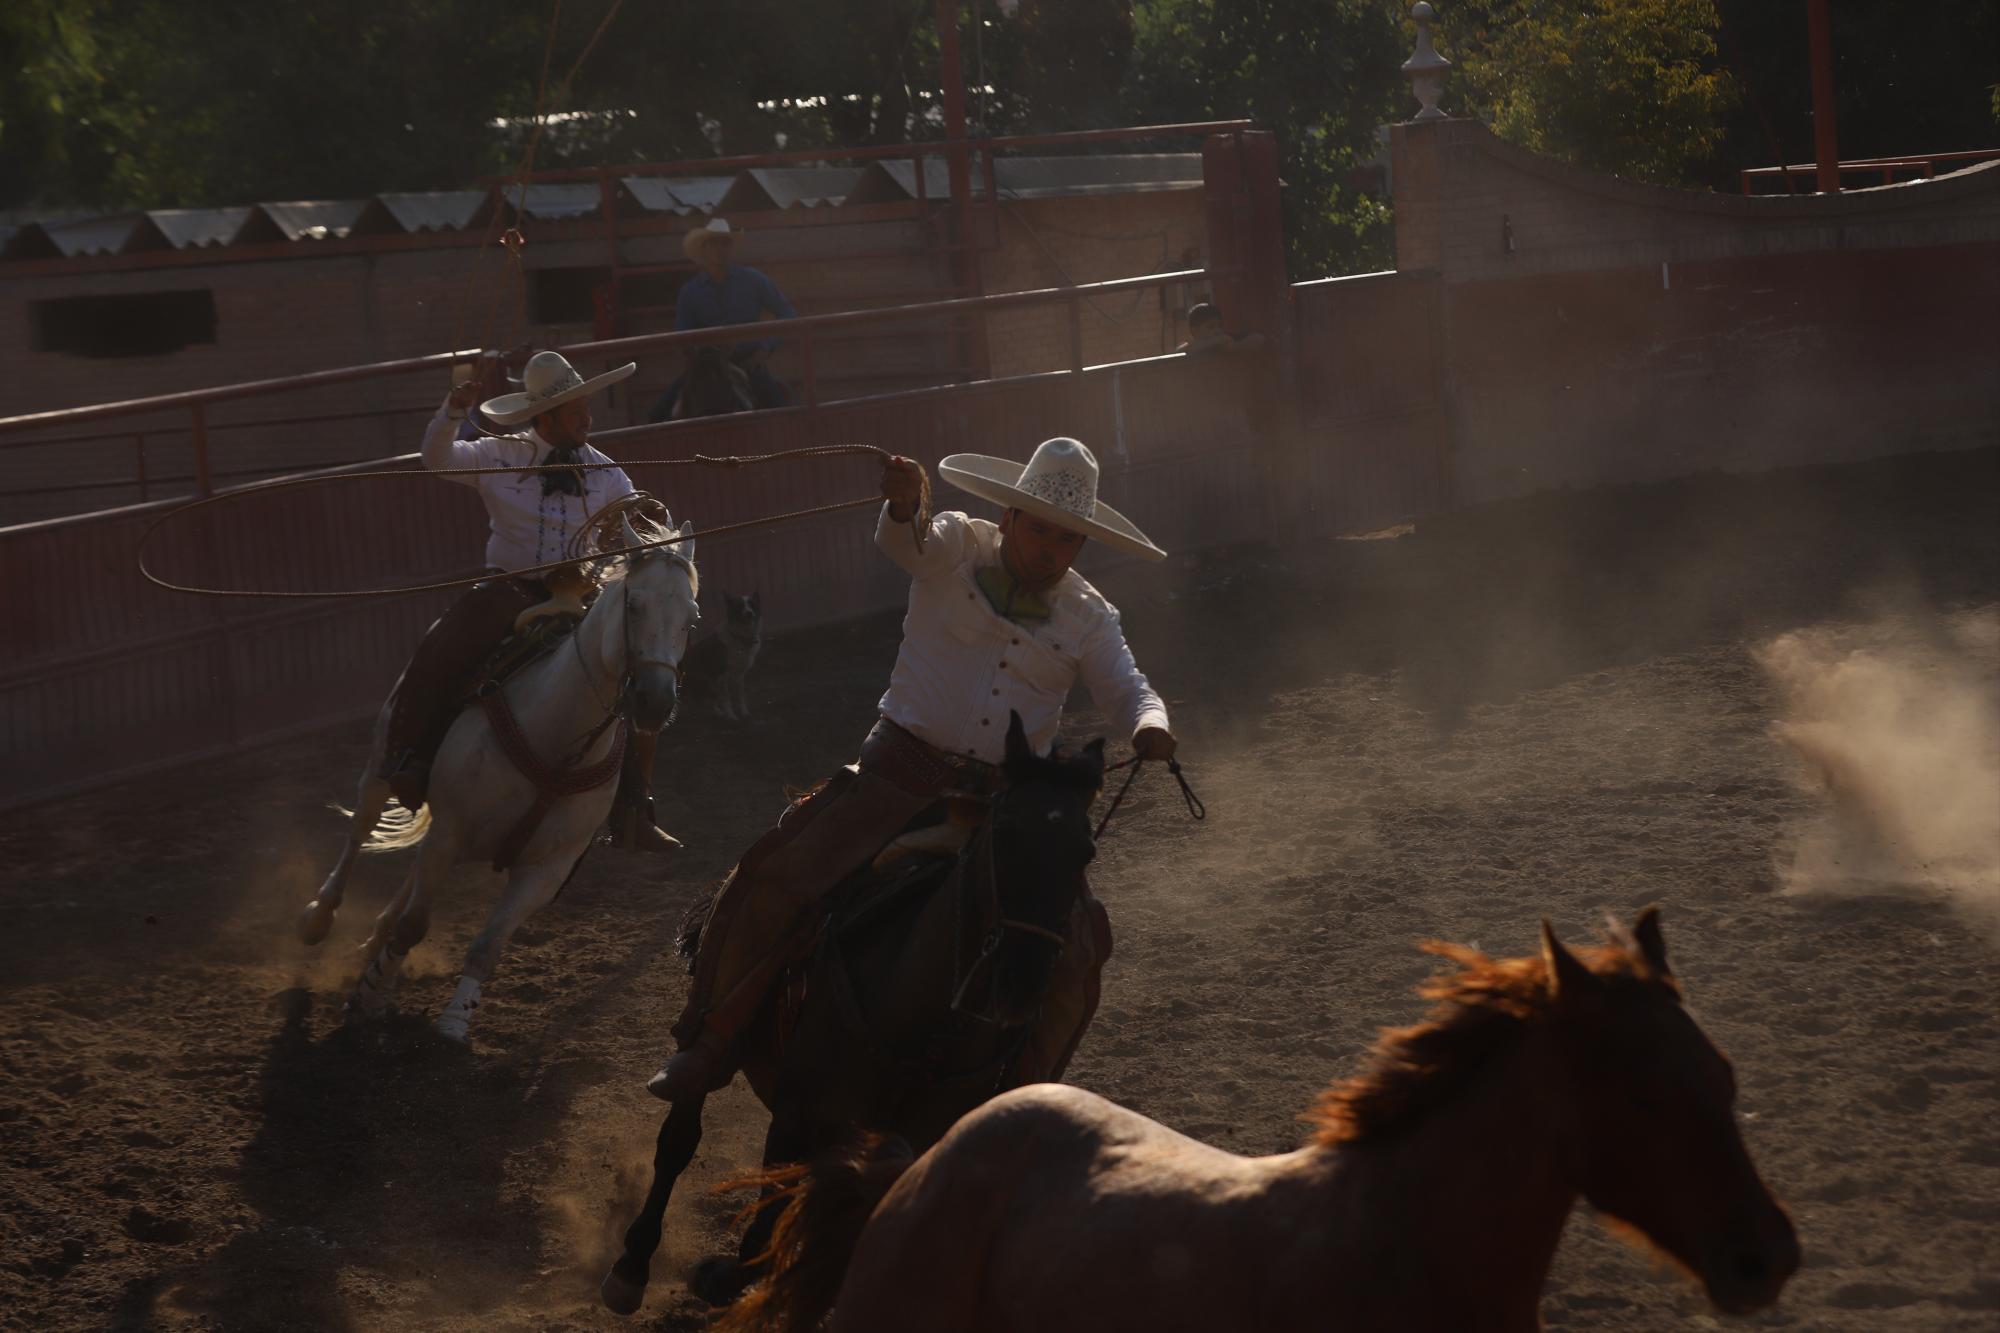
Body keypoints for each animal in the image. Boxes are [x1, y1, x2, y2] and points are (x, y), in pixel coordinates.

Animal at [292, 498, 704, 1040]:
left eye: (691, 617)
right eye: (633, 603)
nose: (654, 702)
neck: (557, 741)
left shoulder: (544, 870)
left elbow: (487, 946)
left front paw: (454, 1021)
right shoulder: (450, 831)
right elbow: (414, 924)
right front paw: (373, 996)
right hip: (382, 761)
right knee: (361, 829)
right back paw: (318, 917)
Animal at [600, 716, 1112, 1304]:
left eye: (1085, 852)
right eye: (1003, 833)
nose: (1021, 983)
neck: (925, 1030)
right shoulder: (798, 1115)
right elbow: (765, 1222)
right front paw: (726, 1277)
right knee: (681, 1132)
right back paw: (631, 1265)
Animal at [680, 588, 756, 716]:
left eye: (752, 605)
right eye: (739, 606)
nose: (749, 613)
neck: (739, 636)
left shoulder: (740, 674)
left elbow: (740, 695)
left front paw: (744, 712)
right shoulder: (722, 673)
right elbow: (726, 698)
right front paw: (731, 715)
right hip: (706, 680)